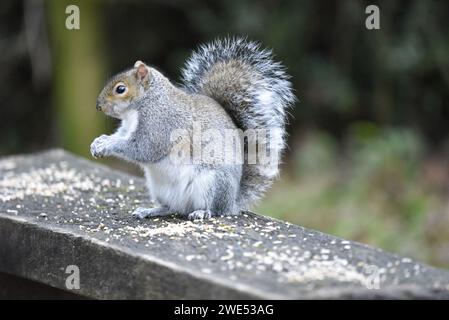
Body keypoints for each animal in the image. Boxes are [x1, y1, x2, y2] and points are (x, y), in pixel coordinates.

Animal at [90, 37, 294, 220]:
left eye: (120, 89)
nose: (98, 106)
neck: (144, 103)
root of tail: (233, 202)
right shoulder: (127, 129)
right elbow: (121, 136)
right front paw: (100, 141)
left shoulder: (160, 124)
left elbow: (144, 149)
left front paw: (107, 145)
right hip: (159, 188)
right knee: (170, 207)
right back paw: (151, 210)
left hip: (212, 183)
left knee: (215, 209)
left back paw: (203, 212)